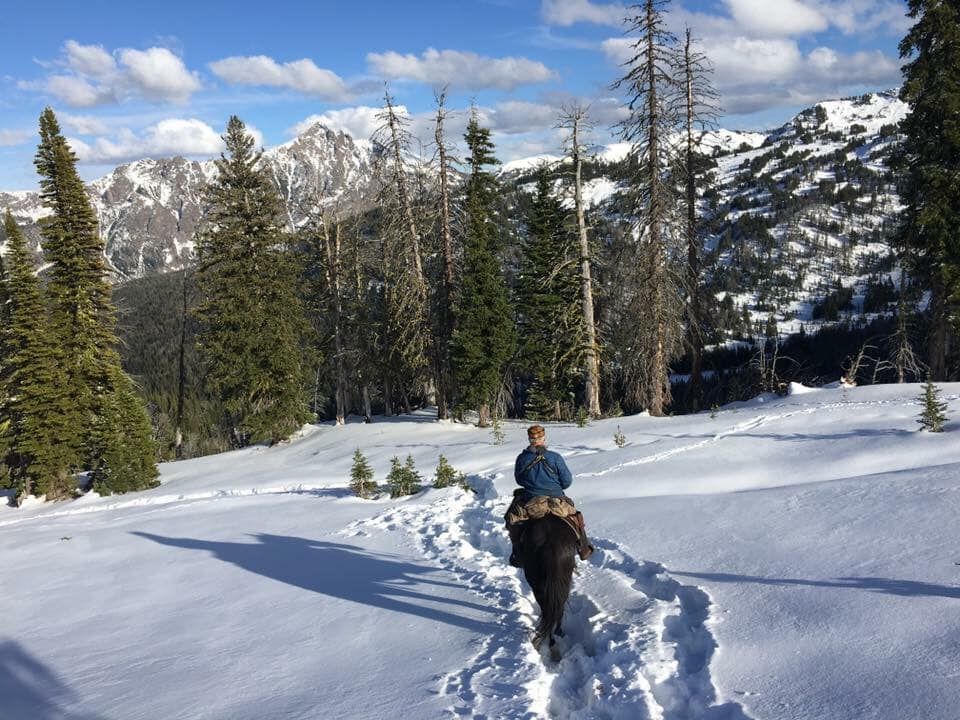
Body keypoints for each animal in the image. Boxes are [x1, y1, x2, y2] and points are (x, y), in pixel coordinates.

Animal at [519, 514, 579, 654]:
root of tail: (552, 546)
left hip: (539, 587)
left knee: (550, 611)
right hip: (562, 585)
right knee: (556, 609)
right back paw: (555, 637)